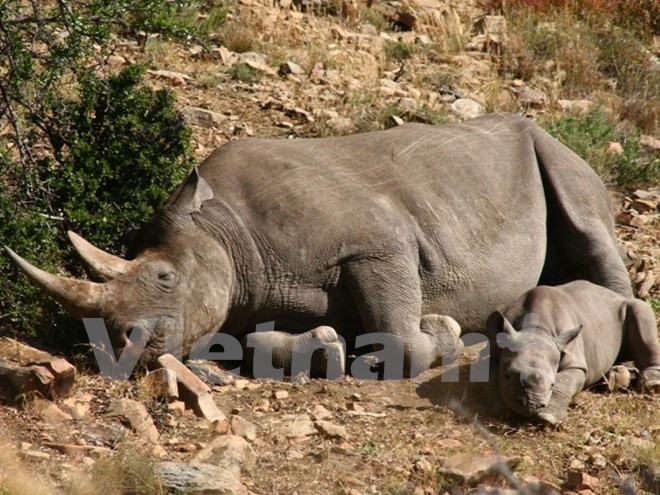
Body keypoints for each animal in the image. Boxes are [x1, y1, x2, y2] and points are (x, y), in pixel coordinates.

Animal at [6, 113, 633, 377]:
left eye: (164, 278)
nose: (122, 346)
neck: (223, 230)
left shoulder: (378, 243)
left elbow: (400, 330)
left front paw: (442, 334)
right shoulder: (244, 297)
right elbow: (253, 346)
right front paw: (327, 349)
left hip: (551, 148)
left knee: (584, 215)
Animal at [486, 280, 660, 424]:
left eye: (552, 384)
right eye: (507, 375)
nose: (532, 405)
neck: (537, 329)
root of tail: (613, 293)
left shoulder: (575, 363)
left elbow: (565, 382)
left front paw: (548, 419)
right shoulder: (494, 353)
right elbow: (492, 378)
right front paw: (502, 412)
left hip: (626, 305)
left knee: (641, 312)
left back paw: (652, 385)